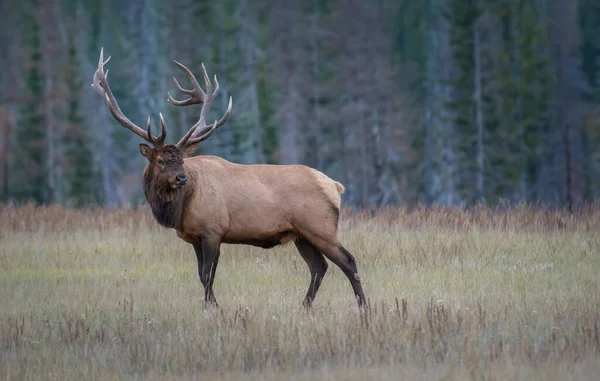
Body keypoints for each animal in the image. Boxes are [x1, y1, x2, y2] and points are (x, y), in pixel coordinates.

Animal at [91, 49, 366, 308]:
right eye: (160, 161)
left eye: (181, 161)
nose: (181, 179)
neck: (180, 208)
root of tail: (335, 186)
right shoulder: (195, 237)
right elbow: (201, 275)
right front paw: (210, 306)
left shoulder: (213, 231)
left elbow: (208, 276)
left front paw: (213, 308)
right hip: (301, 235)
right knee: (319, 267)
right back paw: (305, 307)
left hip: (320, 227)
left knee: (348, 261)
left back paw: (363, 307)